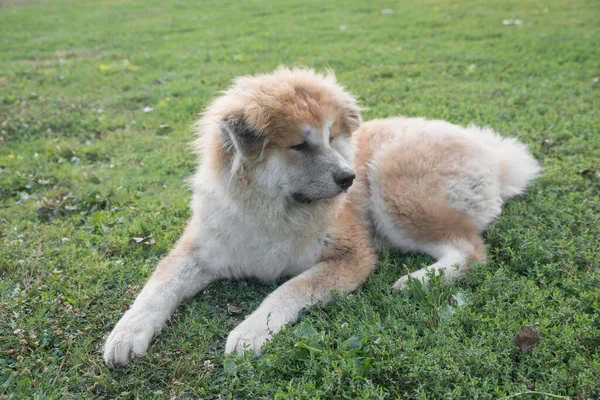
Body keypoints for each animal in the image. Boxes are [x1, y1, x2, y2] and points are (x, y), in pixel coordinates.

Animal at [103, 69, 540, 366]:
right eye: (300, 145)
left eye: (332, 138)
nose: (348, 178)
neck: (274, 212)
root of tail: (496, 156)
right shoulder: (197, 252)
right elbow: (156, 289)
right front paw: (126, 333)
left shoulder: (351, 255)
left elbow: (289, 289)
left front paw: (250, 330)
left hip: (393, 185)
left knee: (470, 249)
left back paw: (417, 280)